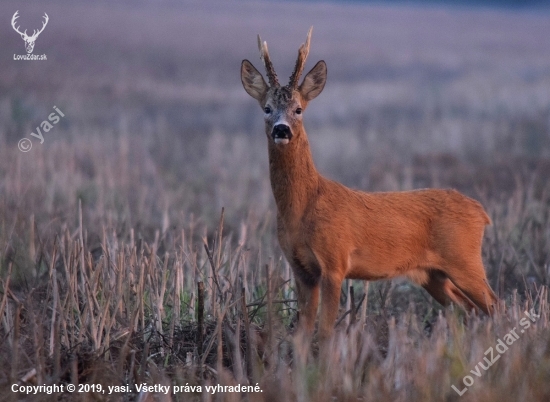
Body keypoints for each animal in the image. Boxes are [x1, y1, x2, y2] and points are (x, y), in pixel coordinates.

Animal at [242, 28, 500, 340]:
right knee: (468, 309)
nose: (282, 130)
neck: (304, 207)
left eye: (299, 109)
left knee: (497, 305)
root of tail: (481, 212)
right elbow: (303, 333)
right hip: (433, 275)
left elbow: (325, 330)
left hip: (465, 260)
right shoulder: (301, 268)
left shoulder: (335, 261)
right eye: (267, 108)